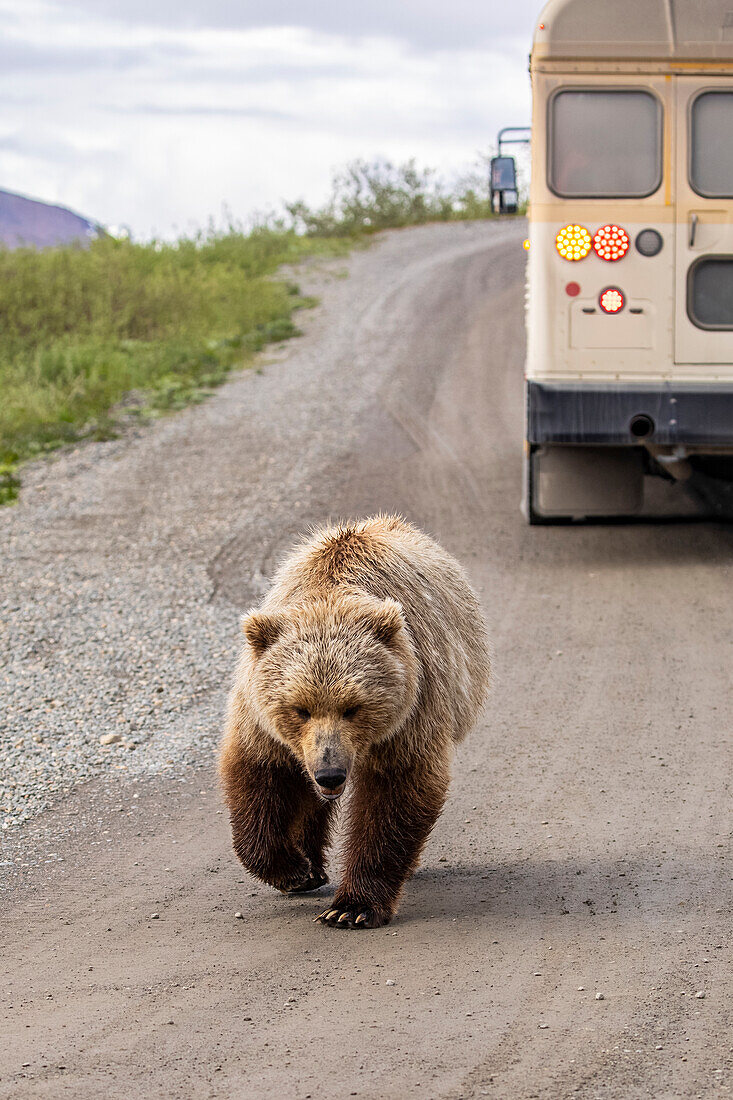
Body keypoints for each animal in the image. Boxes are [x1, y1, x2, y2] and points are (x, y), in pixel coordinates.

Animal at [217, 514, 490, 928]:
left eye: (353, 708)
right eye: (300, 709)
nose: (330, 774)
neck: (329, 599)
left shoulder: (411, 711)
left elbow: (395, 793)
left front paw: (352, 908)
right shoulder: (262, 716)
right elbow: (260, 774)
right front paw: (292, 869)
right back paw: (312, 865)